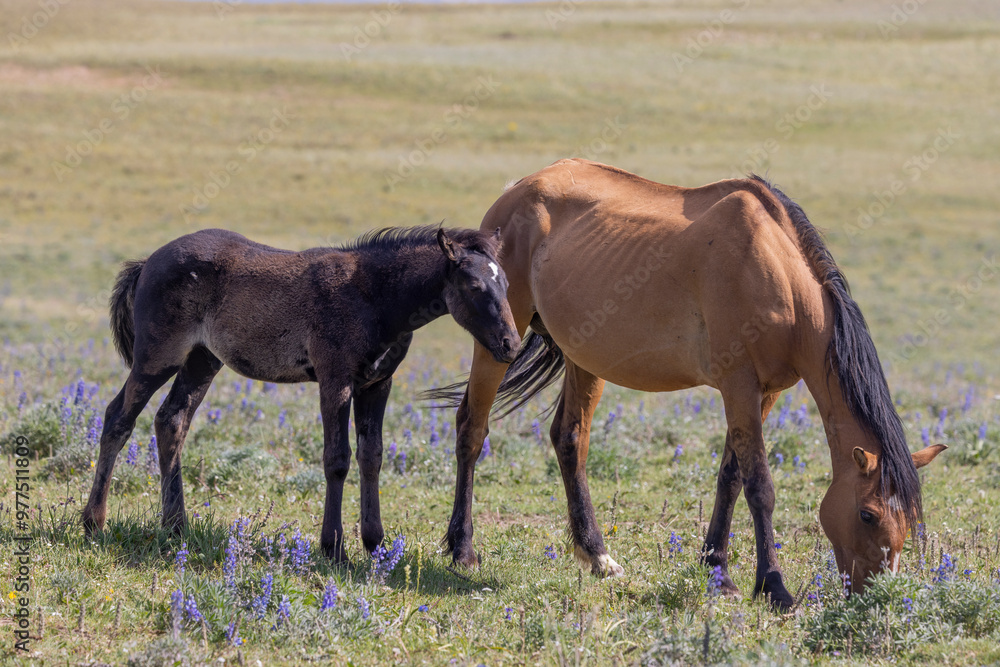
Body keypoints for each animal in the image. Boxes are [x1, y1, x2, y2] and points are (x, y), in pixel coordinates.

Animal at [81, 226, 520, 562]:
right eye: (474, 285)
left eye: (507, 283)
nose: (510, 344)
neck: (373, 296)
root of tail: (147, 262)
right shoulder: (334, 379)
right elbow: (337, 459)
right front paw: (335, 548)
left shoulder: (377, 384)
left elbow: (372, 456)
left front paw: (375, 544)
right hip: (158, 357)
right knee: (118, 418)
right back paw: (93, 523)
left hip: (202, 360)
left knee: (171, 420)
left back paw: (176, 527)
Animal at [428, 159, 945, 609]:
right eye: (868, 514)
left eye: (908, 520)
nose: (875, 594)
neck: (775, 268)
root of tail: (516, 190)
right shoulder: (738, 384)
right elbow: (760, 485)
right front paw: (773, 586)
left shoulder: (767, 392)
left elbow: (731, 476)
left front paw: (717, 568)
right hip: (500, 337)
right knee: (472, 429)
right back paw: (463, 550)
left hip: (583, 357)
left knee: (570, 439)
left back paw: (597, 556)